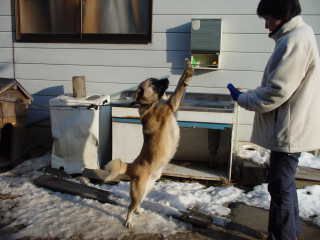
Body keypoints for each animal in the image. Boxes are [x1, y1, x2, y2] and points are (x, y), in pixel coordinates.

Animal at [104, 57, 192, 227]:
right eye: (152, 83)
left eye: (156, 79)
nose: (166, 79)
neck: (150, 104)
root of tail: (131, 166)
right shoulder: (173, 104)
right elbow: (180, 85)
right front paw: (187, 71)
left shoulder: (174, 107)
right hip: (139, 191)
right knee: (130, 206)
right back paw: (128, 221)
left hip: (147, 188)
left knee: (137, 204)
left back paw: (138, 211)